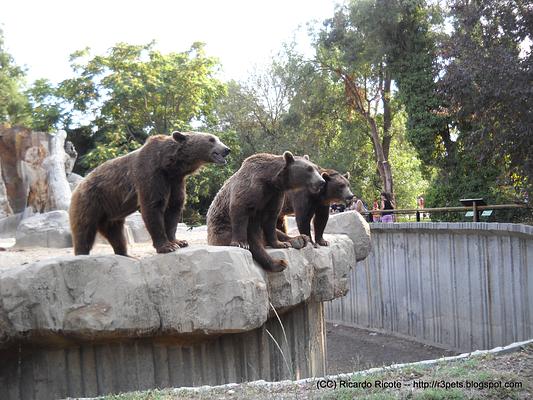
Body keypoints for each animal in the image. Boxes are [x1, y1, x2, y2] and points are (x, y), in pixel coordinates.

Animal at [69, 131, 230, 256]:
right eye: (211, 139)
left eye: (217, 138)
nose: (227, 149)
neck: (169, 164)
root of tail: (79, 185)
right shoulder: (151, 174)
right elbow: (153, 206)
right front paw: (167, 246)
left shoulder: (175, 181)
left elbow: (174, 207)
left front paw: (179, 241)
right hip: (90, 201)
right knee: (84, 231)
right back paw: (81, 253)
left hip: (110, 213)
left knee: (117, 235)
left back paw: (125, 254)